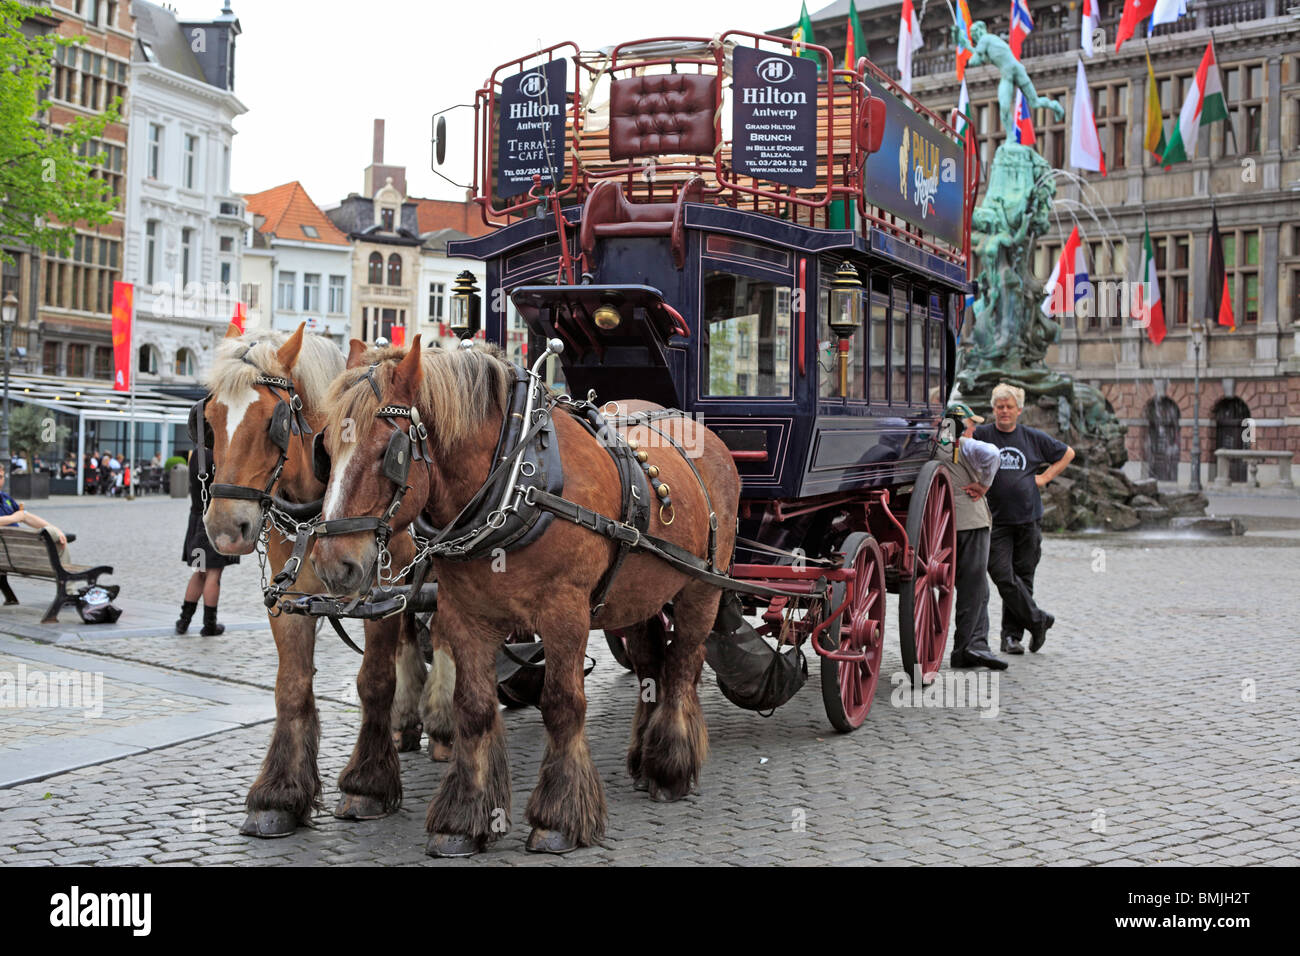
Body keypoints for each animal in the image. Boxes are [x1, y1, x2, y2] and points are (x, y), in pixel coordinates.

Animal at [200, 323, 428, 837]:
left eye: (275, 419)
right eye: (209, 417)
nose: (224, 528)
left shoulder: (381, 596)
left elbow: (375, 680)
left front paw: (367, 785)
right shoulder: (290, 599)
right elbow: (291, 685)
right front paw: (278, 796)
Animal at [310, 340, 743, 858]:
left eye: (387, 453)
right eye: (324, 450)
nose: (333, 564)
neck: (516, 479)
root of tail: (704, 434)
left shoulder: (565, 613)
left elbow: (562, 705)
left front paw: (559, 818)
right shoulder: (466, 615)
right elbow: (473, 708)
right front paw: (464, 819)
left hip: (702, 586)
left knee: (682, 666)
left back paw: (670, 768)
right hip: (636, 594)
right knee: (649, 665)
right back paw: (643, 757)